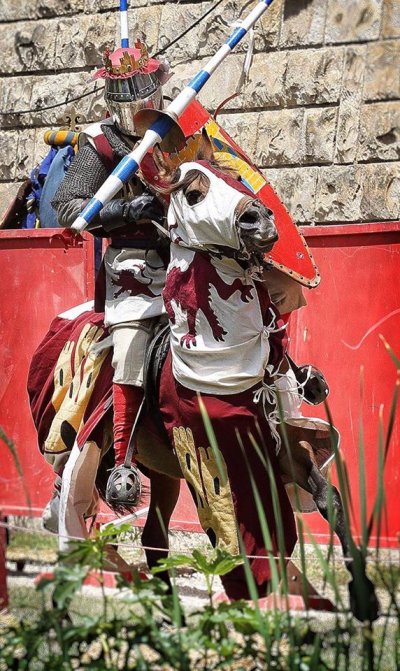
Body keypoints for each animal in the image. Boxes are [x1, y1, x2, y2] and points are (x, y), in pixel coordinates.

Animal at [28, 139, 378, 624]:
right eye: (193, 194)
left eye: (237, 179)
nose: (260, 219)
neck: (225, 360)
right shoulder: (222, 454)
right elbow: (248, 534)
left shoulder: (282, 444)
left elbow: (331, 500)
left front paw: (364, 597)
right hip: (95, 453)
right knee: (79, 513)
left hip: (163, 470)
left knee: (153, 537)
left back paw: (168, 609)